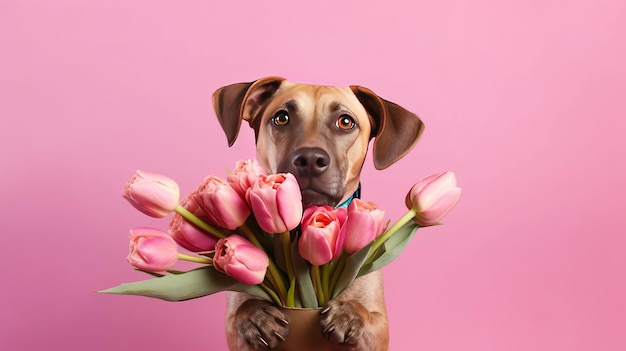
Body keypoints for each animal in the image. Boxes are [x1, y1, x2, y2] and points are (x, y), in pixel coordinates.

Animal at [212, 75, 422, 350]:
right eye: (282, 117)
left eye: (345, 121)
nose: (310, 159)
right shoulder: (233, 320)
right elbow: (240, 312)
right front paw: (255, 315)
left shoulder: (378, 324)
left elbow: (367, 315)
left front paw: (348, 314)